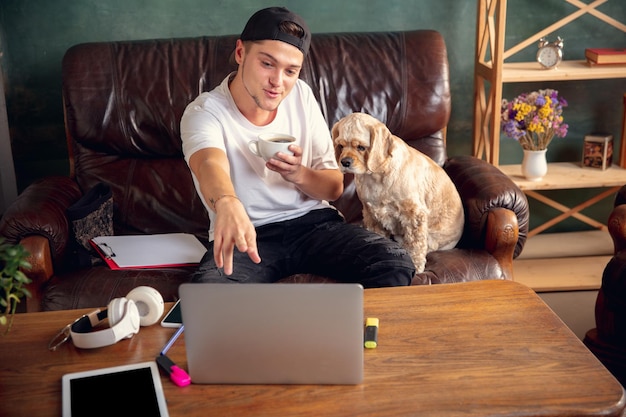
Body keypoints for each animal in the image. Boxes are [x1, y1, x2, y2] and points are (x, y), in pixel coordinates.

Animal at [332, 112, 464, 272]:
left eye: (361, 147)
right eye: (340, 146)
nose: (344, 162)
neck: (376, 176)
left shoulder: (414, 214)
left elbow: (415, 244)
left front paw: (416, 266)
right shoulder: (371, 213)